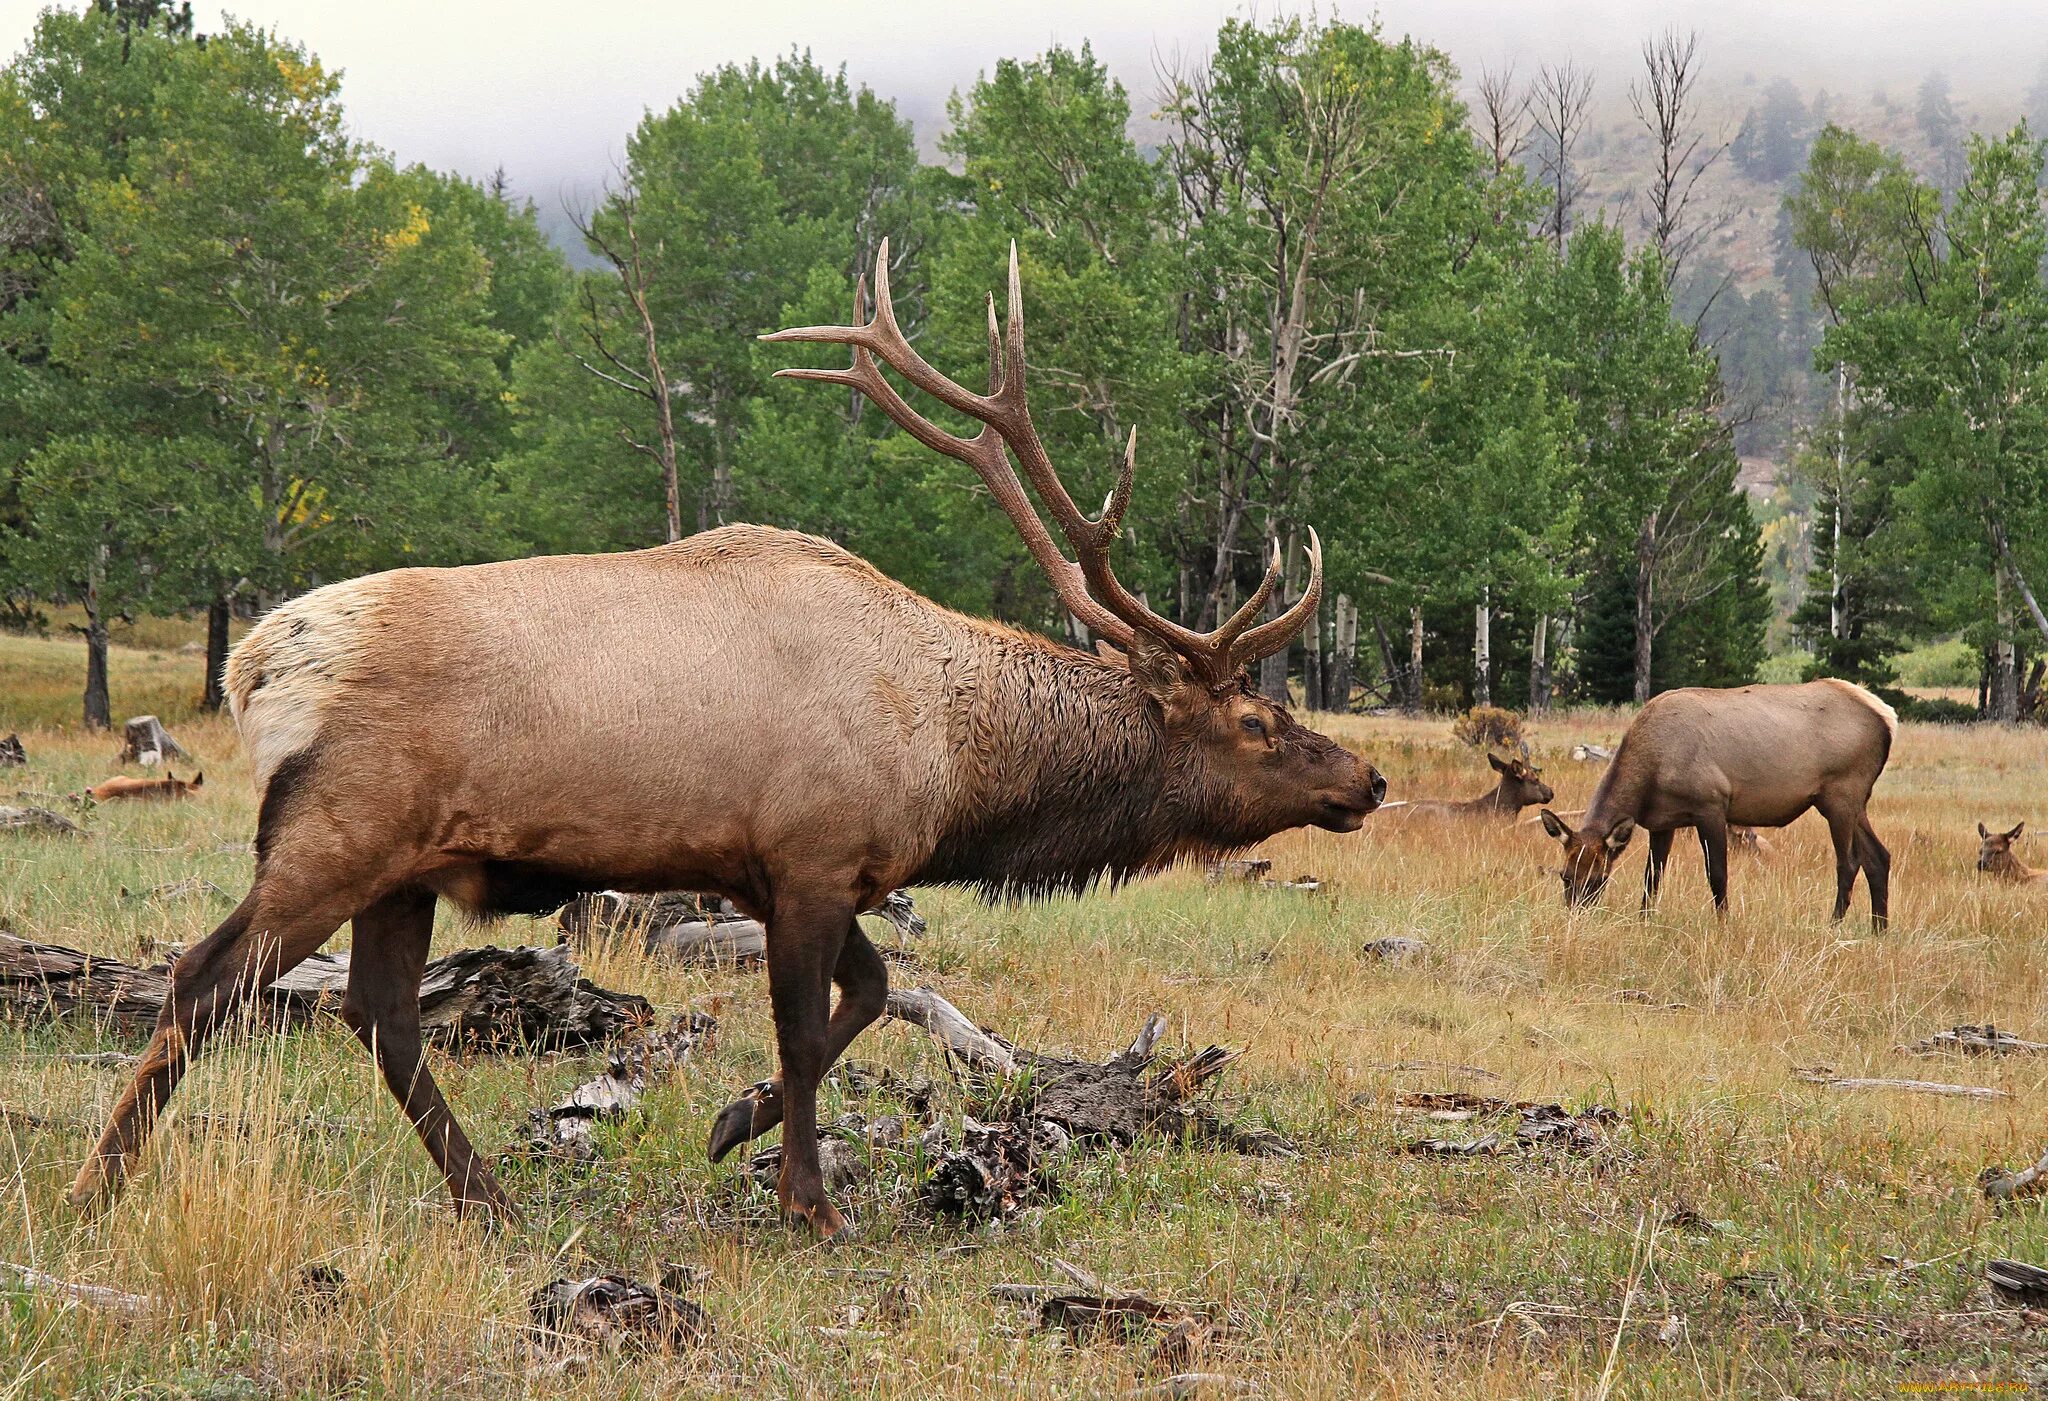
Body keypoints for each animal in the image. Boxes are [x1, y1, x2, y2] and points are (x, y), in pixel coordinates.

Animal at [72, 245, 1384, 1245]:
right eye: (1257, 723)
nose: (1364, 779)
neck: (951, 764)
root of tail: (253, 667)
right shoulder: (807, 856)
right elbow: (809, 1030)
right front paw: (808, 1201)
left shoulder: (809, 869)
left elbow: (875, 993)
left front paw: (726, 1125)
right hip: (333, 832)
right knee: (205, 979)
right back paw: (99, 1185)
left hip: (407, 865)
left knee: (379, 1017)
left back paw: (488, 1197)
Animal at [1531, 684, 1892, 925]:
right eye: (1565, 876)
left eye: (1599, 878)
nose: (1576, 919)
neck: (1650, 775)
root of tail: (1888, 719)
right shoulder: (1662, 822)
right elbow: (1652, 876)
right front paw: (1644, 920)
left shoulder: (1712, 805)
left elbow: (1717, 874)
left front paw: (1723, 924)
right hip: (1854, 801)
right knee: (1878, 856)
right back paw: (1879, 929)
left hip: (1840, 794)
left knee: (1849, 862)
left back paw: (1834, 925)